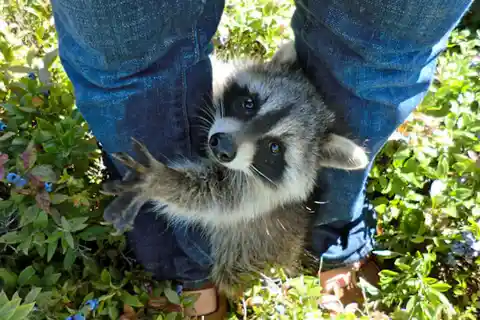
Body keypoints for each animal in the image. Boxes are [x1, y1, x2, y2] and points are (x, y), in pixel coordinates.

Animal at [101, 40, 368, 300]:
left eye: (274, 148)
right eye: (248, 104)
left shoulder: (258, 196)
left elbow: (216, 197)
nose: (222, 147)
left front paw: (162, 181)